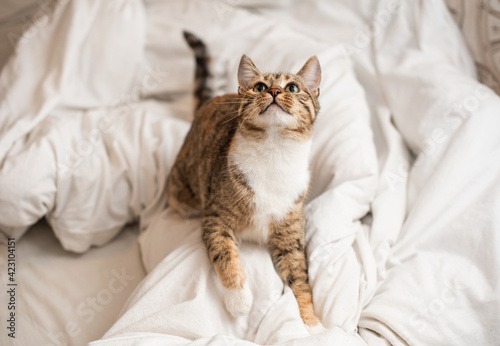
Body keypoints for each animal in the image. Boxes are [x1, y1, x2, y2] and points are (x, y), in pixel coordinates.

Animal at [168, 32, 324, 332]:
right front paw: (239, 300)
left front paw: (311, 323)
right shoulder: (216, 216)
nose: (274, 92)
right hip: (183, 193)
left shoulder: (290, 234)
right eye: (260, 86)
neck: (274, 152)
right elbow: (224, 253)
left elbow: (299, 277)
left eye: (293, 88)